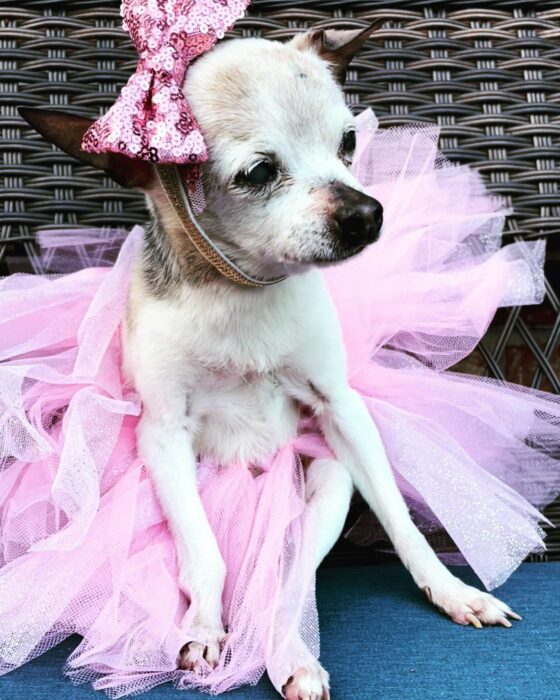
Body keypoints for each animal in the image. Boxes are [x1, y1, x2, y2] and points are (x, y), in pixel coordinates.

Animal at [21, 23, 520, 700]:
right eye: (259, 172)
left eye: (348, 142)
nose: (366, 212)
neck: (242, 291)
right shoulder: (163, 435)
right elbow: (207, 554)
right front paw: (204, 628)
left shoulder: (343, 411)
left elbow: (399, 519)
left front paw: (451, 589)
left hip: (330, 475)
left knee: (286, 575)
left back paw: (293, 655)